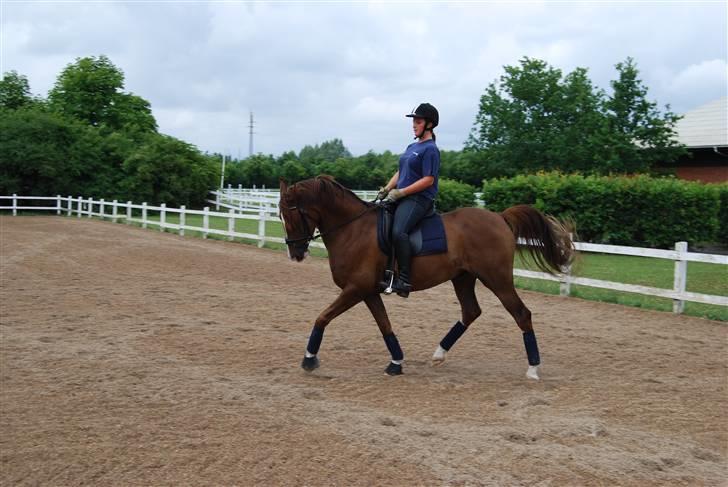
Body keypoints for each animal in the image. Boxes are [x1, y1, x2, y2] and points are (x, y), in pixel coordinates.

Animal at [278, 176, 576, 382]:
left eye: (291, 213)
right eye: (280, 214)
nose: (295, 253)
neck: (353, 229)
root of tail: (500, 218)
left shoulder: (355, 289)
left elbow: (322, 317)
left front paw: (309, 359)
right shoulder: (367, 291)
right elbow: (384, 325)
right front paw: (396, 363)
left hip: (497, 279)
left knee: (521, 314)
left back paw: (533, 369)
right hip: (463, 278)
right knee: (470, 311)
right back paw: (439, 354)